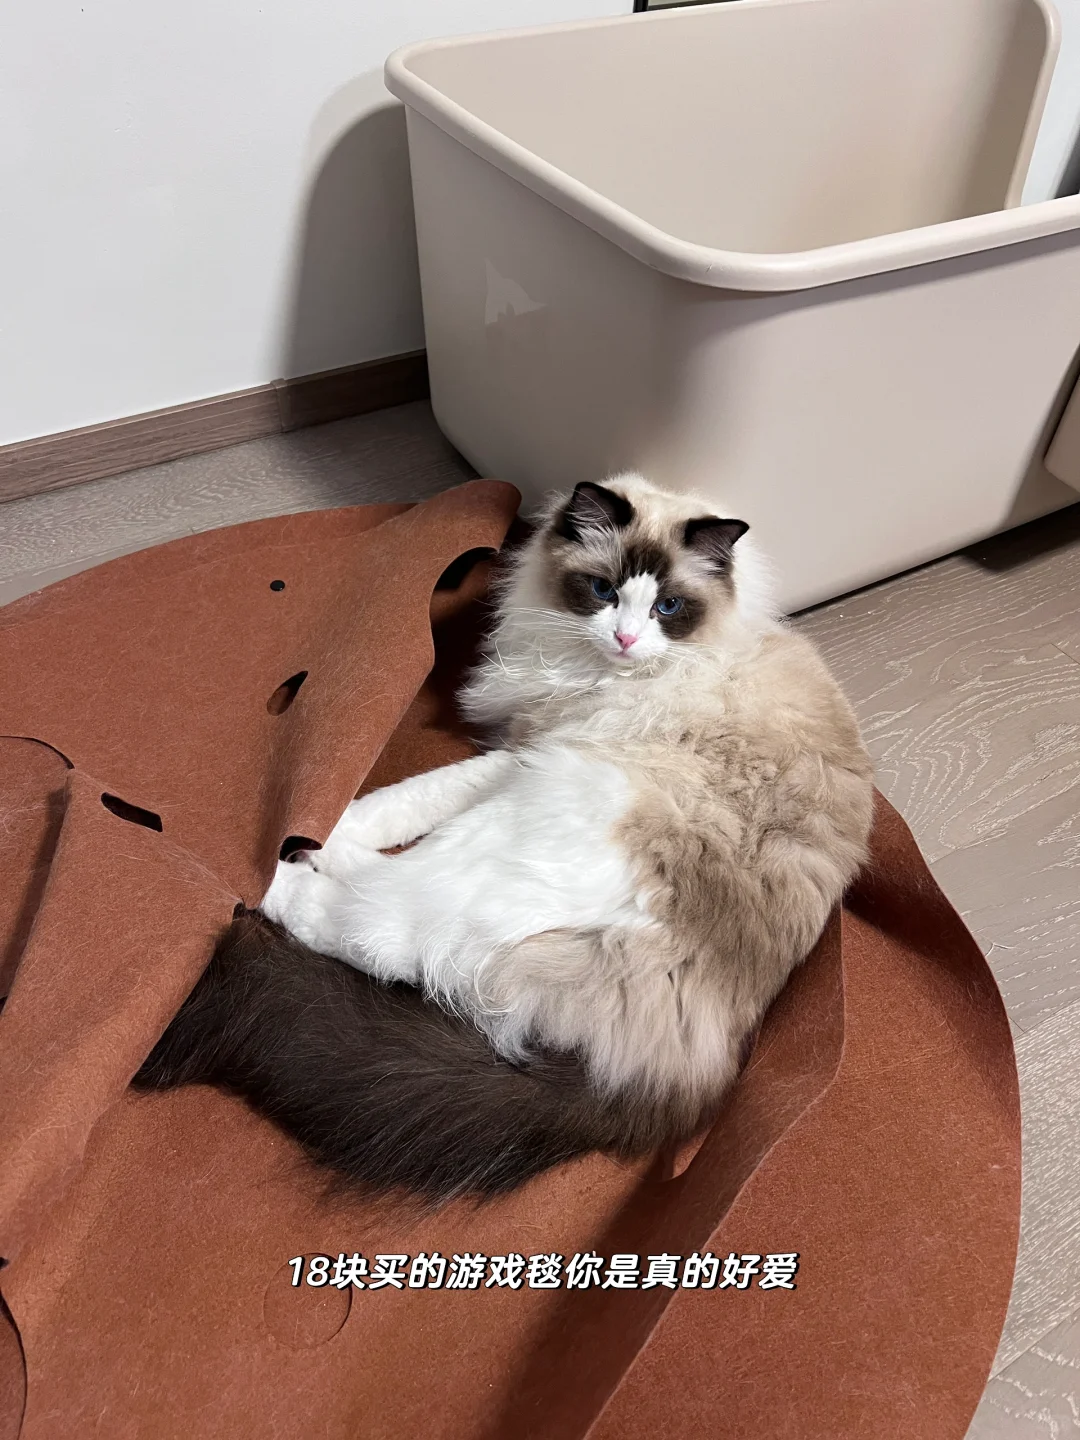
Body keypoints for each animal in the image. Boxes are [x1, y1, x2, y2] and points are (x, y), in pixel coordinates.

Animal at [138, 475, 874, 1201]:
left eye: (668, 607)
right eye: (602, 590)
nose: (626, 639)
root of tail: (688, 1071)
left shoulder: (525, 751)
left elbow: (405, 800)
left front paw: (329, 822)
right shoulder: (520, 741)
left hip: (542, 804)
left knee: (379, 927)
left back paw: (289, 863)